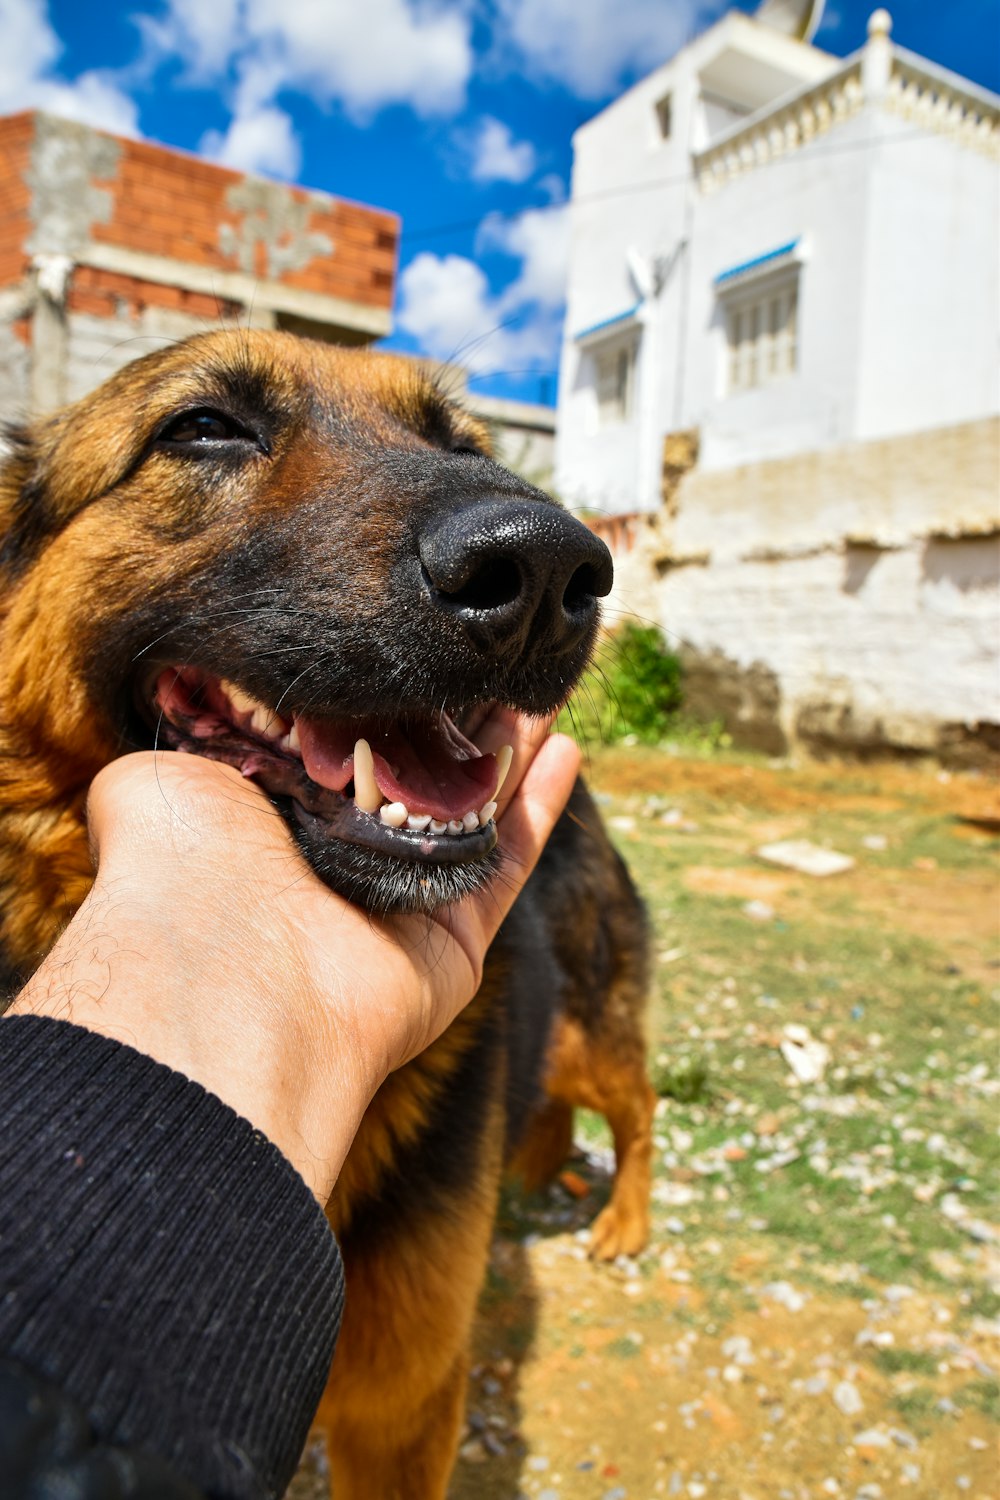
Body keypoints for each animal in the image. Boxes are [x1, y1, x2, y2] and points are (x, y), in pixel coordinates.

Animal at [0, 331, 656, 1500]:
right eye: (203, 428)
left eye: (461, 443)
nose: (547, 568)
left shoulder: (406, 1404)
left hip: (593, 1030)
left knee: (641, 1111)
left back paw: (622, 1217)